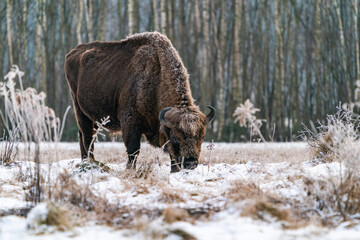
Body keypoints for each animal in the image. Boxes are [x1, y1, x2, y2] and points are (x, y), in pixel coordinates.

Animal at [64, 31, 214, 172]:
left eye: (202, 136)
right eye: (176, 138)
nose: (191, 163)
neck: (157, 78)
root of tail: (72, 53)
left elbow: (171, 153)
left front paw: (174, 170)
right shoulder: (131, 123)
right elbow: (133, 150)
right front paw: (130, 170)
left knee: (83, 137)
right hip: (80, 111)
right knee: (87, 138)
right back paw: (90, 162)